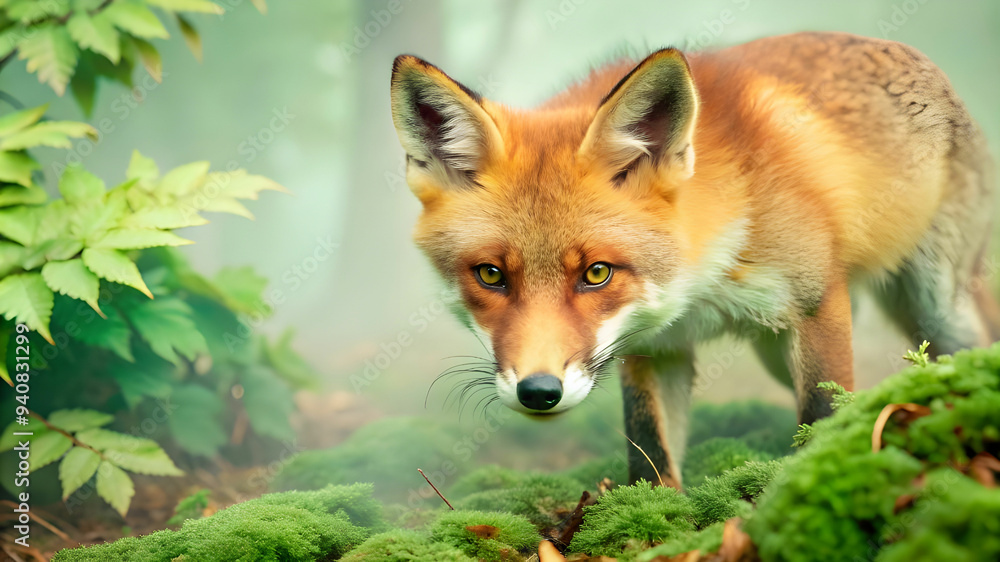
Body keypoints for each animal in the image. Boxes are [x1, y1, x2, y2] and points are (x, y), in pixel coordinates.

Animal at [388, 31, 997, 487]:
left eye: (596, 273)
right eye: (491, 274)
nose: (539, 393)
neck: (698, 284)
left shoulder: (816, 303)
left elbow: (818, 421)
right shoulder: (650, 348)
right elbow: (650, 457)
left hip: (938, 306)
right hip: (777, 353)